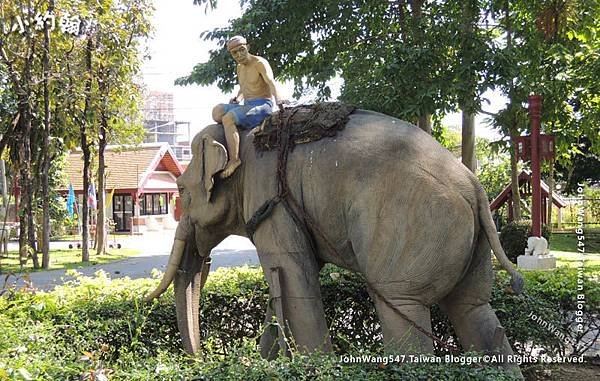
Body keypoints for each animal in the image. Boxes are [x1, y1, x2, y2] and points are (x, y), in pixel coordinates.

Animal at [146, 109, 524, 374]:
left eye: (181, 190)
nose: (200, 361)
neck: (242, 136)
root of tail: (474, 187)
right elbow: (284, 285)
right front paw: (267, 363)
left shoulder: (270, 199)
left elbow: (296, 278)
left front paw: (311, 365)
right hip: (472, 244)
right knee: (475, 309)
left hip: (416, 228)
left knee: (401, 308)